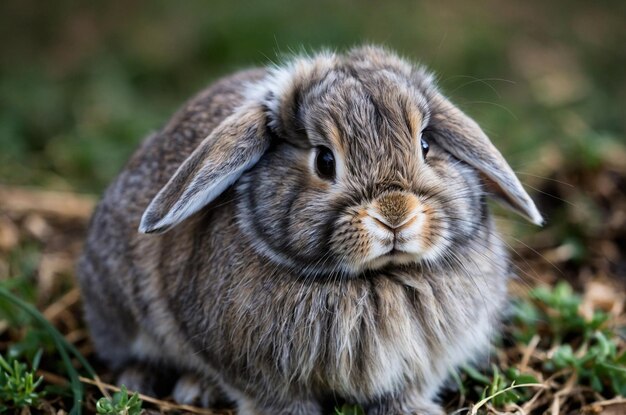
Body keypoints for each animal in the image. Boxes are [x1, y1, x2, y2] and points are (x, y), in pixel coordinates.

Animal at [75, 45, 540, 415]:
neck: (376, 278)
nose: (395, 215)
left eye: (426, 144)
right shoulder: (253, 370)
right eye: (324, 161)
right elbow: (275, 399)